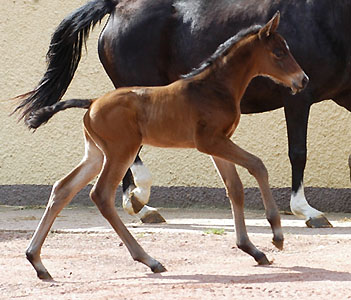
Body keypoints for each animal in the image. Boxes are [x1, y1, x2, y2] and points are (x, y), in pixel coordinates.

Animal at [24, 11, 308, 278]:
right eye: (279, 52)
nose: (303, 80)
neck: (215, 87)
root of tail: (92, 103)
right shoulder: (211, 141)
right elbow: (258, 165)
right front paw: (277, 235)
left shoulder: (218, 143)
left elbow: (234, 188)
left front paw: (252, 249)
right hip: (120, 152)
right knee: (101, 195)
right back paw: (149, 260)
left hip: (96, 154)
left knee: (62, 188)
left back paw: (37, 262)